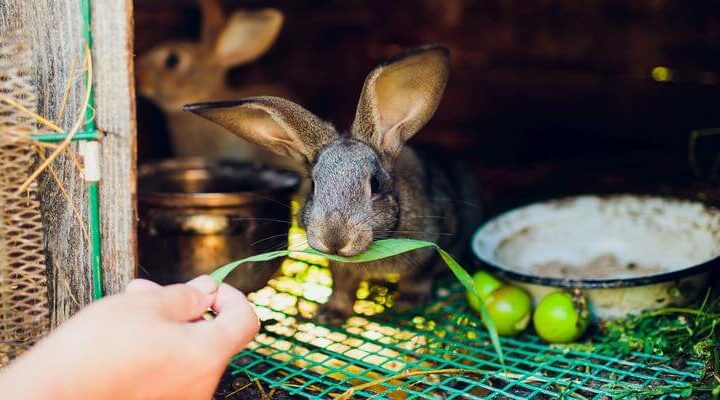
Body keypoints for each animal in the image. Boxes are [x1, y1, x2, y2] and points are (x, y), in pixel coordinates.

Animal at [183, 44, 480, 322]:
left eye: (375, 184)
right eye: (314, 186)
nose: (334, 240)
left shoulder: (430, 248)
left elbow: (417, 278)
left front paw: (408, 302)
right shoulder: (340, 270)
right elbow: (343, 287)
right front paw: (330, 314)